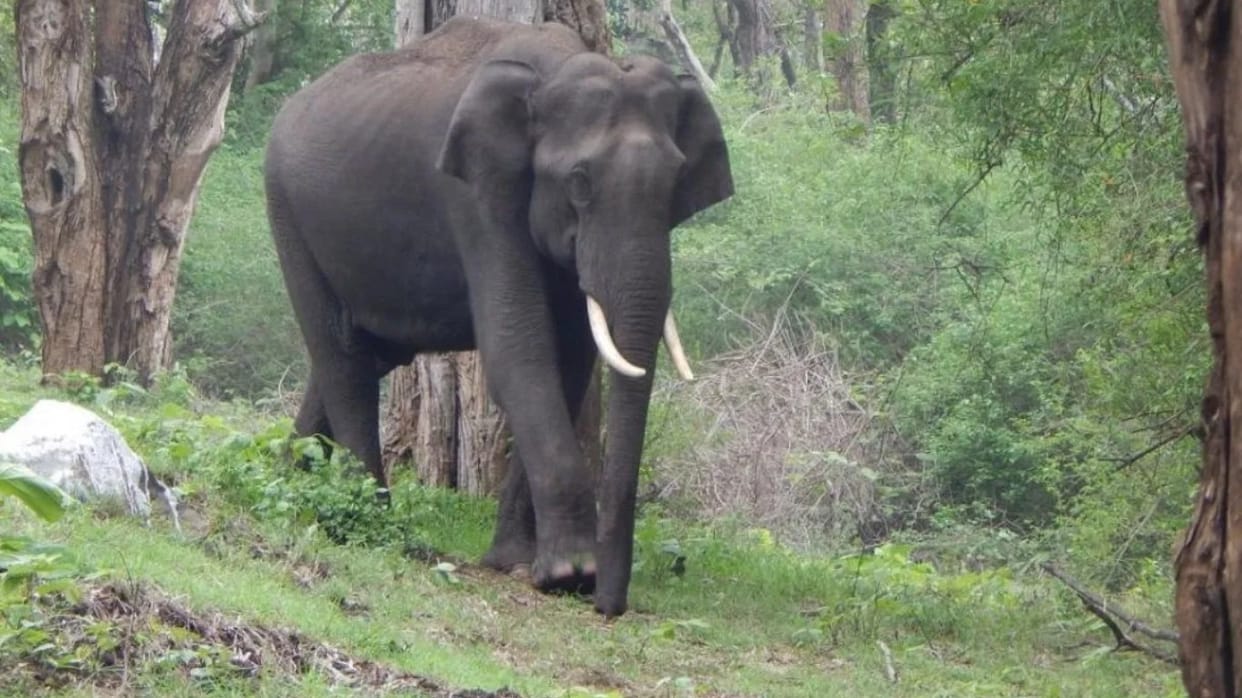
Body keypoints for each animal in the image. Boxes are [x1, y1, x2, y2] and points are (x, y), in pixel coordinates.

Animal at [263, 17, 733, 617]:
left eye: (677, 181)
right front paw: (569, 573)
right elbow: (519, 347)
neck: (556, 66)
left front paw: (516, 563)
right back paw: (368, 517)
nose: (607, 605)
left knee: (364, 356)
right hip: (288, 214)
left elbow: (570, 361)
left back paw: (288, 478)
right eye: (579, 182)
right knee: (341, 356)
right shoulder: (479, 193)